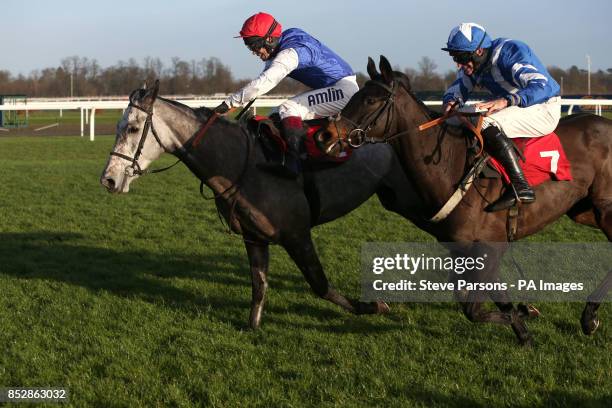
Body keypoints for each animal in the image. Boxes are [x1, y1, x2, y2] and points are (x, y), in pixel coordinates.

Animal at [100, 81, 428, 330]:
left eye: (132, 128)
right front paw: (253, 325)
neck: (243, 164)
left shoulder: (297, 235)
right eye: (117, 126)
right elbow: (259, 285)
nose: (108, 180)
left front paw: (372, 306)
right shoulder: (254, 237)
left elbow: (320, 285)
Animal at [322, 56, 608, 344]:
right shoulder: (465, 250)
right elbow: (482, 298)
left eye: (370, 100)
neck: (452, 167)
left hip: (605, 208)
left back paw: (589, 317)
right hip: (583, 210)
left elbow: (473, 309)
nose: (327, 134)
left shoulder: (490, 247)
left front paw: (523, 313)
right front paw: (524, 327)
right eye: (355, 95)